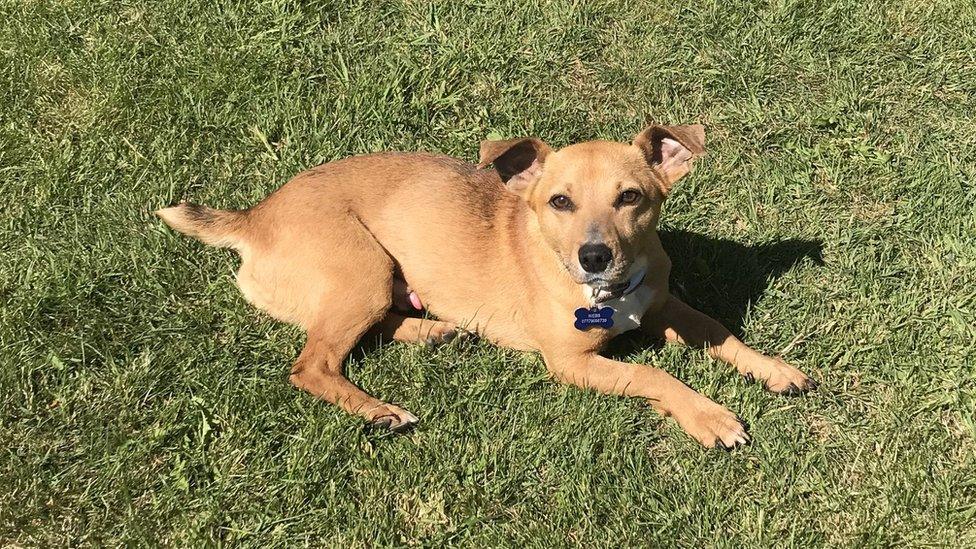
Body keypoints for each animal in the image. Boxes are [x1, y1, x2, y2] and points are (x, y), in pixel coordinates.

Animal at [158, 124, 816, 450]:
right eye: (558, 202)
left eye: (632, 197)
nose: (595, 255)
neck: (610, 294)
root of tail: (252, 219)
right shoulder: (571, 363)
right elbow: (654, 375)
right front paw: (709, 417)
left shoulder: (664, 305)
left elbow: (718, 330)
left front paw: (773, 368)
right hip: (360, 269)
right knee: (312, 364)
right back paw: (379, 411)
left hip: (374, 282)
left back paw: (433, 330)